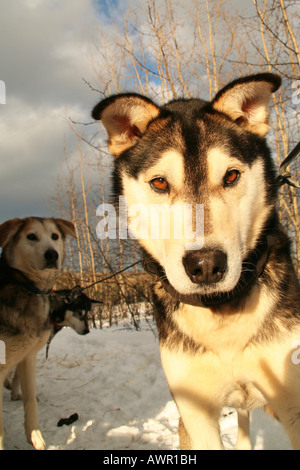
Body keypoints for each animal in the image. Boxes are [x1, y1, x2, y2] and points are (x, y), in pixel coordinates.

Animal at [0, 218, 75, 450]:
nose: (52, 255)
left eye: (55, 236)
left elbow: (30, 400)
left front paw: (35, 437)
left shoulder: (27, 356)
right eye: (31, 236)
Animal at [91, 74, 300, 452]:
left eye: (231, 176)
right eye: (160, 182)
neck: (220, 316)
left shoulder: (292, 400)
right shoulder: (195, 413)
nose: (205, 265)